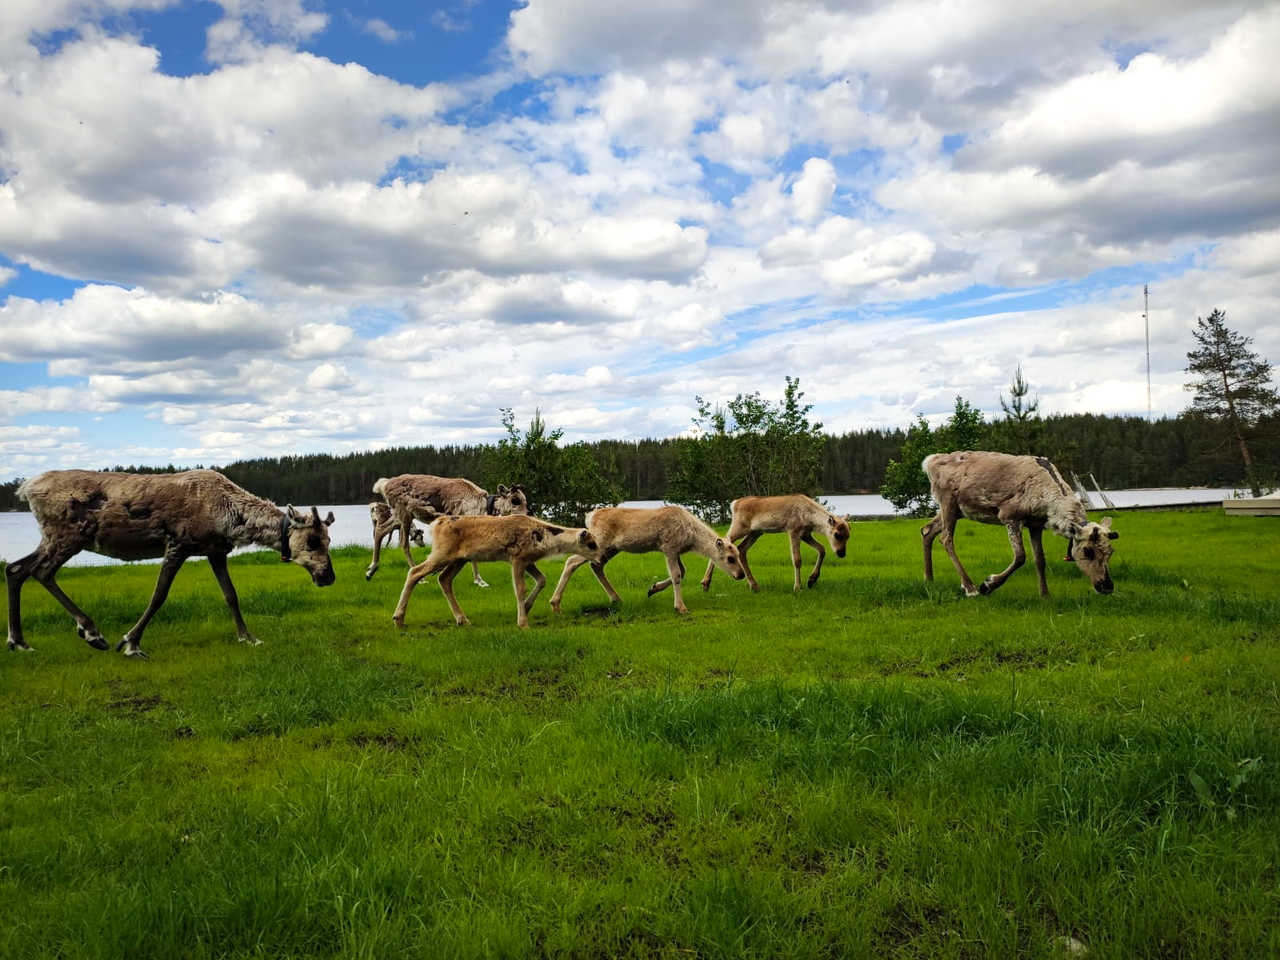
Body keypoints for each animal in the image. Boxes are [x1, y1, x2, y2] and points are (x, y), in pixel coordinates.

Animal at [389, 519, 599, 632]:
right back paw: (398, 619)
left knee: (444, 579)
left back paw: (462, 620)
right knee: (415, 572)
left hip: (459, 559)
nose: (599, 558)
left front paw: (527, 607)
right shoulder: (517, 558)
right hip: (442, 553)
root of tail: (435, 524)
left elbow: (542, 579)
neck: (544, 539)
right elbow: (520, 589)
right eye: (591, 544)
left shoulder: (528, 560)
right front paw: (523, 623)